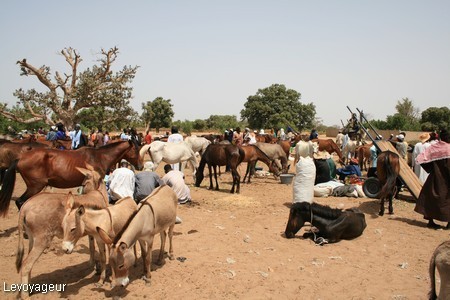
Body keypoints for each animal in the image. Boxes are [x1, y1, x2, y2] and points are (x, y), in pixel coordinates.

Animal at [0, 138, 142, 216]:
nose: (140, 166)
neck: (99, 157)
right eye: (135, 149)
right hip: (35, 186)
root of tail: (20, 158)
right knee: (20, 202)